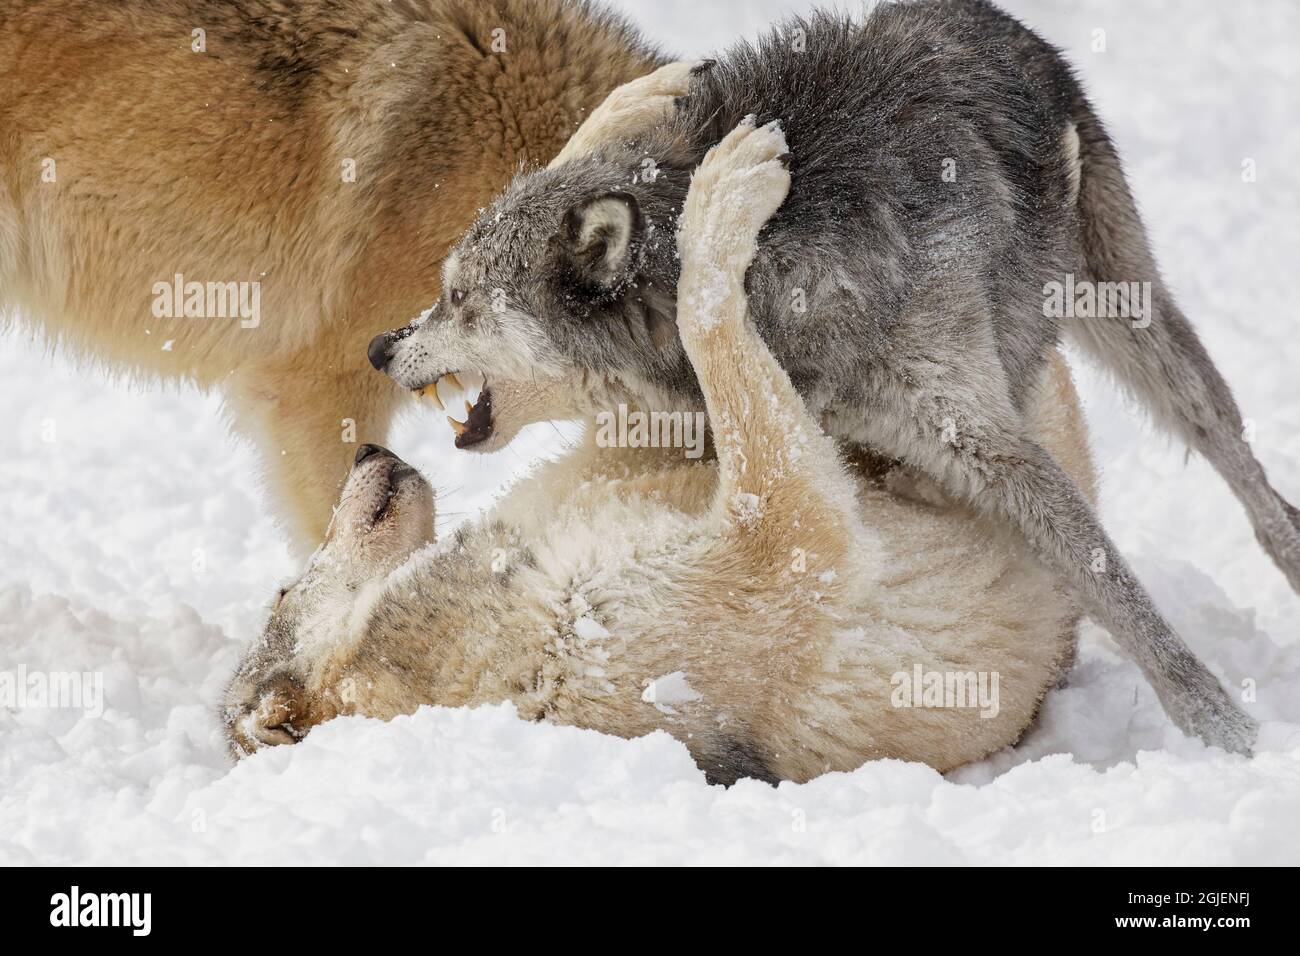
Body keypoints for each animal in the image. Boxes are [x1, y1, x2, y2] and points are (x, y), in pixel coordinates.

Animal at [226, 119, 1102, 783]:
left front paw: (628, 119)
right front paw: (717, 198)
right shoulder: (789, 537)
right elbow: (704, 320)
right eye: (282, 592)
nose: (367, 455)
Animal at [369, 2, 1298, 753]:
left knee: (1240, 465)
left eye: (459, 299)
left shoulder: (984, 445)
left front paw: (1224, 729)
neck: (780, 265)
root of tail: (980, 15)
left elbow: (1115, 590)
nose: (381, 346)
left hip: (1131, 321)